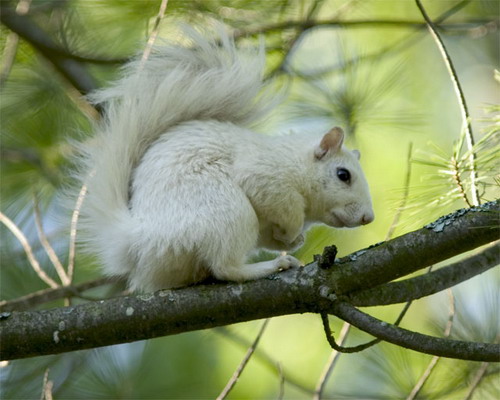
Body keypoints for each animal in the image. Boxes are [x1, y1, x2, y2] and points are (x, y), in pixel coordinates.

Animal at [76, 27, 374, 290]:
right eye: (343, 175)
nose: (368, 218)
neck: (295, 163)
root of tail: (138, 242)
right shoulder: (264, 174)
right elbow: (283, 206)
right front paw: (291, 234)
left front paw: (292, 239)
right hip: (227, 210)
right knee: (225, 268)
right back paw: (270, 266)